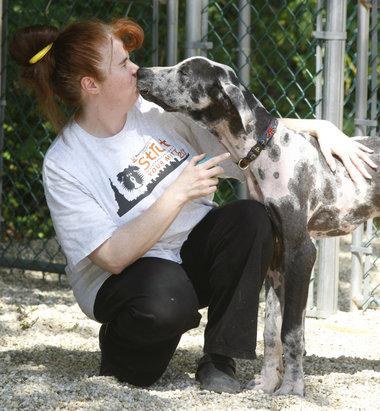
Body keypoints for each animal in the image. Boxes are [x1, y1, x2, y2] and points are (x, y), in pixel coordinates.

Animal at [137, 58, 380, 396]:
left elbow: (291, 330)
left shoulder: (301, 252)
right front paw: (268, 383)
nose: (140, 72)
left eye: (185, 73)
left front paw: (292, 388)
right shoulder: (275, 259)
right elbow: (270, 332)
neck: (265, 150)